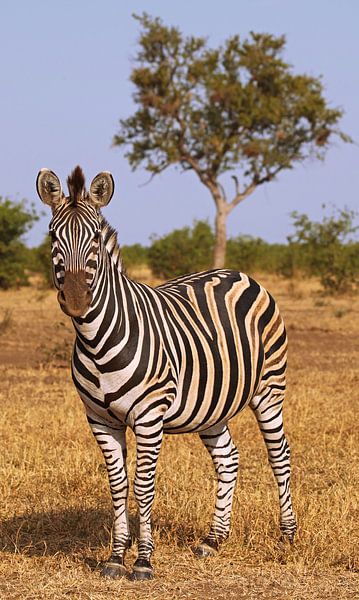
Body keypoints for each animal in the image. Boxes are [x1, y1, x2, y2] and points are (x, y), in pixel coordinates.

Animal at [36, 165, 296, 580]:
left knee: (279, 455)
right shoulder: (100, 420)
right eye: (52, 235)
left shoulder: (148, 417)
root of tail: (238, 273)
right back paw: (213, 540)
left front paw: (143, 561)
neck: (96, 340)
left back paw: (287, 536)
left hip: (269, 389)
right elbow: (117, 486)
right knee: (228, 459)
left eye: (95, 238)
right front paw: (115, 557)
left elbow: (143, 486)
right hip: (213, 405)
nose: (76, 301)